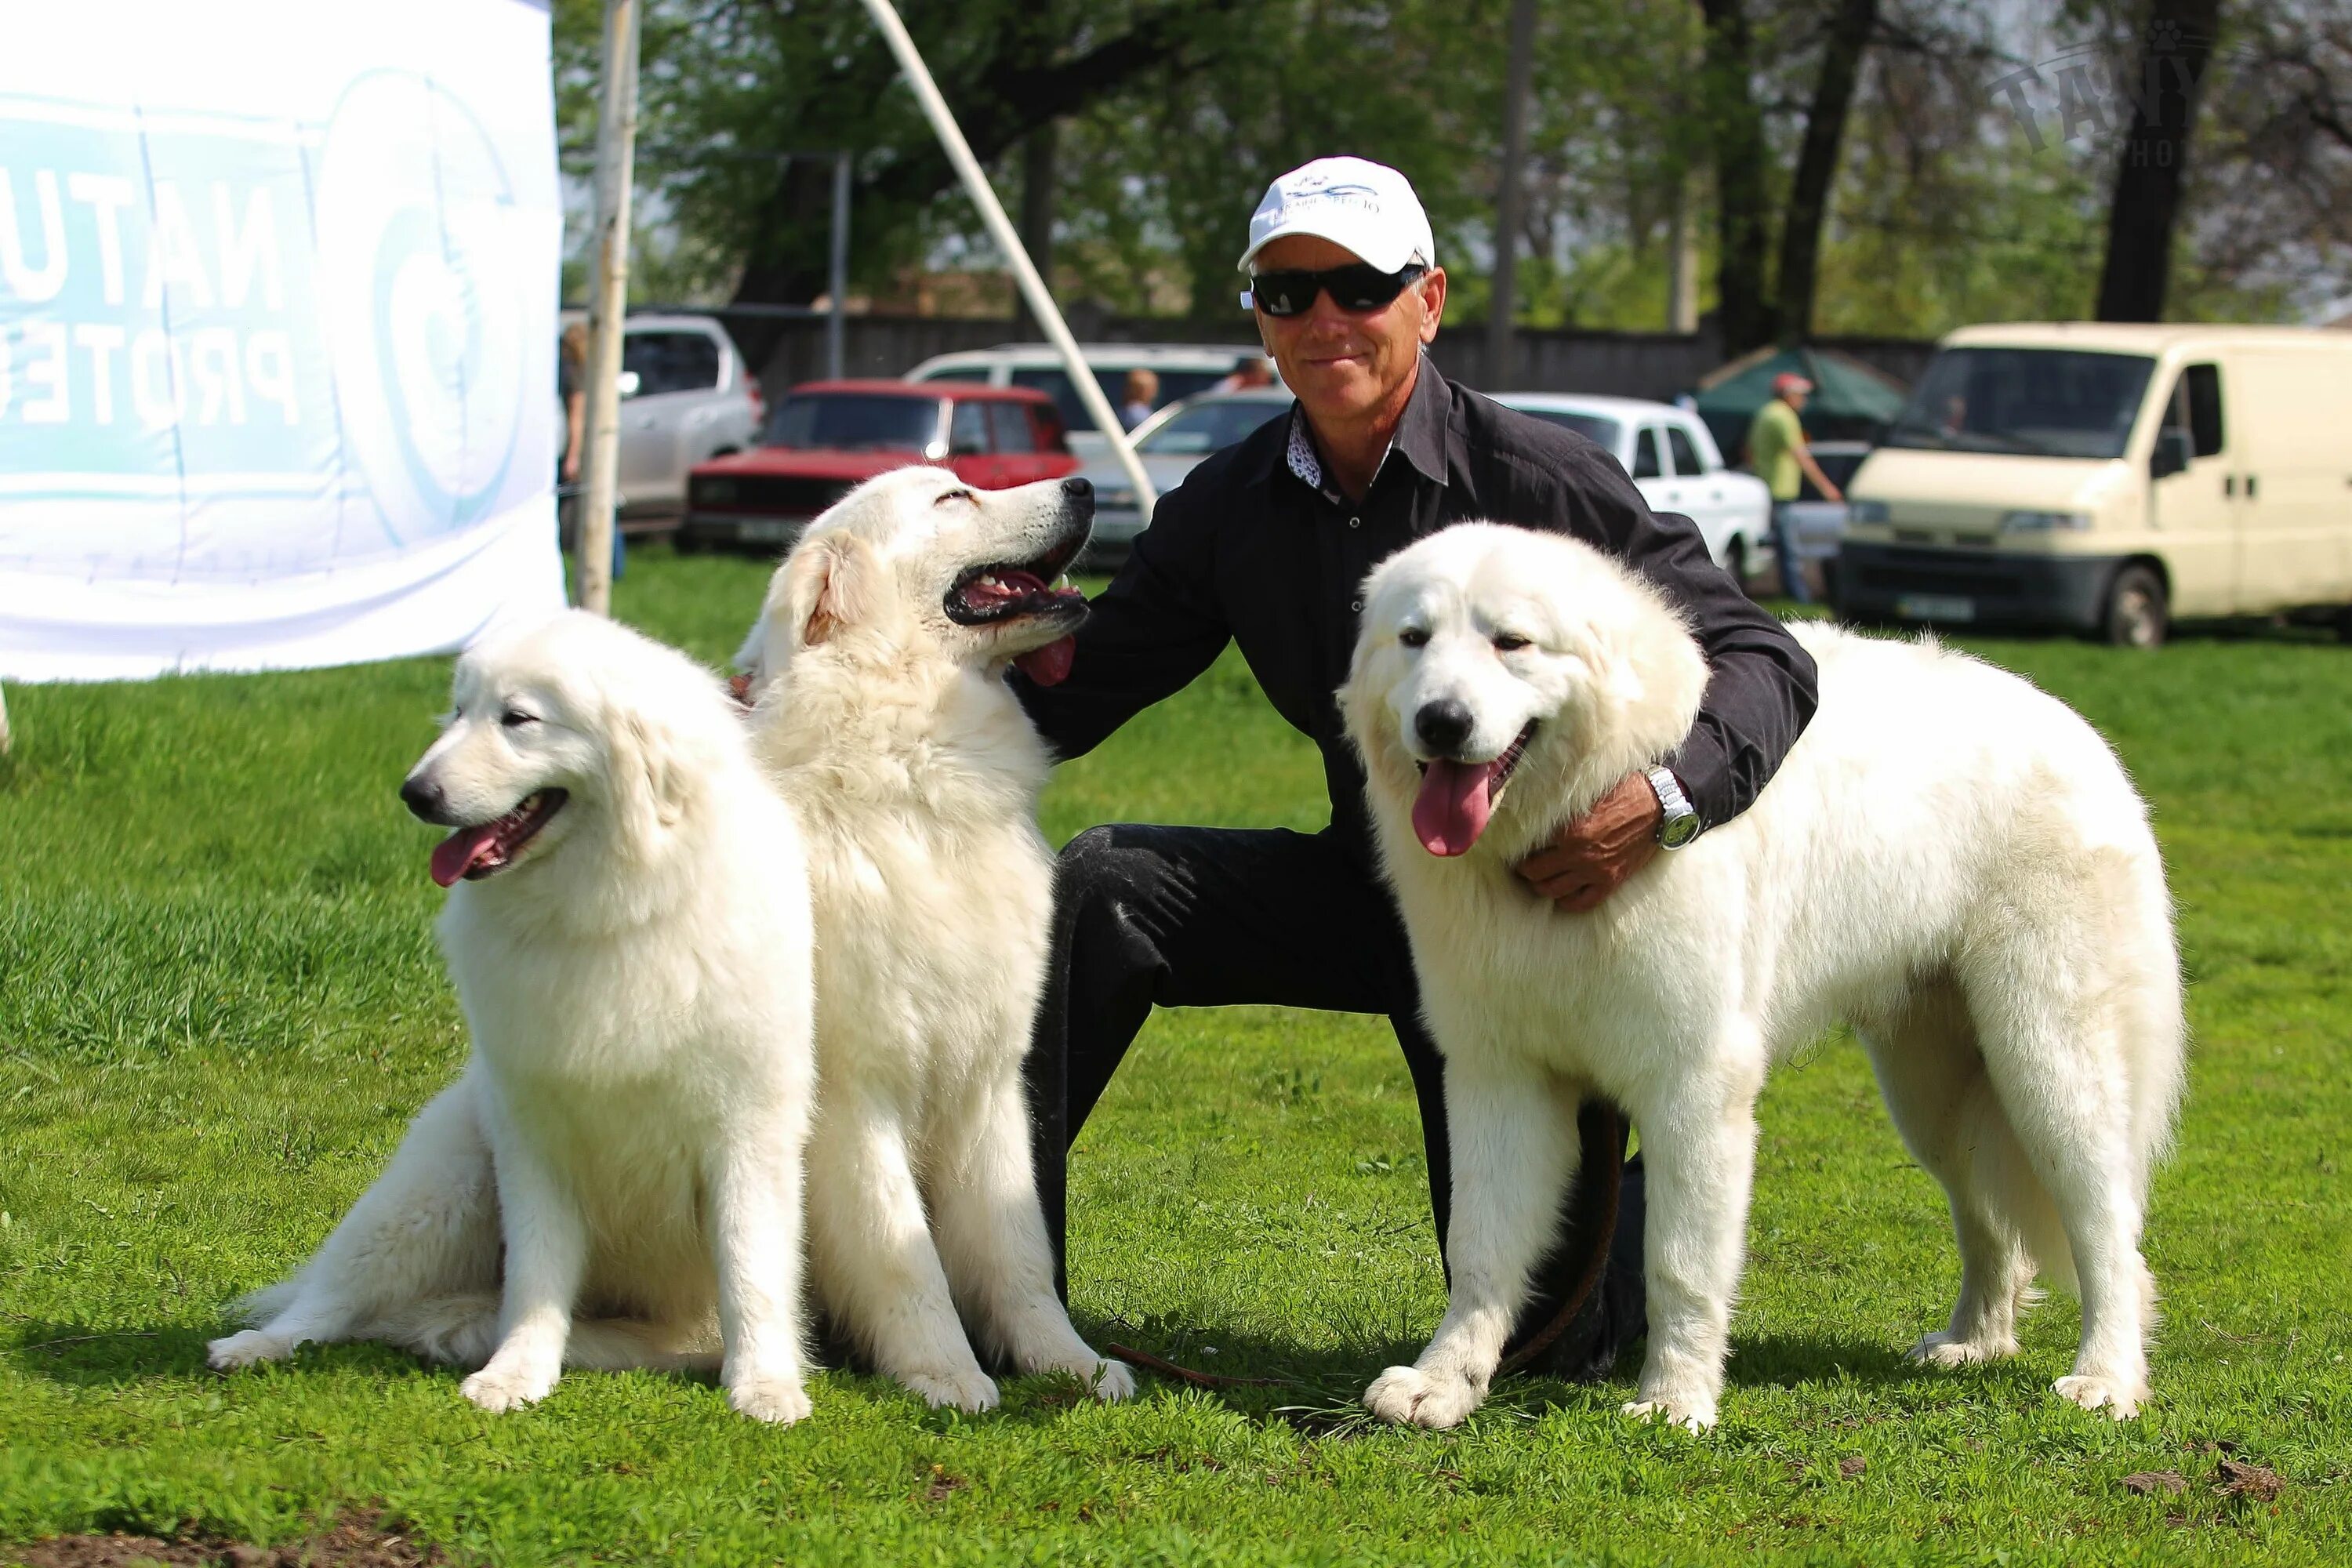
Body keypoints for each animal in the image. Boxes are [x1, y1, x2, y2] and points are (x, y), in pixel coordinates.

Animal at [205, 611, 828, 1420]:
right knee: (328, 1299)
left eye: (518, 719)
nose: (414, 793)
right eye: (458, 710)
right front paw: (516, 1374)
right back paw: (256, 1346)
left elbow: (752, 1266)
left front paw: (763, 1384)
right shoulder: (535, 1135)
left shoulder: (747, 1131)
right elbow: (536, 1274)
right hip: (437, 1190)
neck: (607, 911)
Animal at [739, 463, 1134, 1410]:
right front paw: (946, 1372)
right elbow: (903, 1252)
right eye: (953, 497)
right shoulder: (856, 1102)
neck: (914, 776)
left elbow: (1019, 1252)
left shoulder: (989, 1083)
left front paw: (1067, 1362)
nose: (1084, 482)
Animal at [1345, 526, 2183, 1439]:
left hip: (2049, 1063)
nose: (1441, 722)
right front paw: (1445, 1382)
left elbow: (1679, 1261)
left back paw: (2106, 1378)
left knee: (2108, 1229)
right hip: (1936, 1091)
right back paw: (1975, 1340)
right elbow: (1482, 1247)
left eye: (1511, 641)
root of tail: (2080, 731)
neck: (1585, 800)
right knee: (1990, 1220)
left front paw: (1674, 1399)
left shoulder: (1694, 1081)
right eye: (1415, 638)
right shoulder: (1499, 1076)